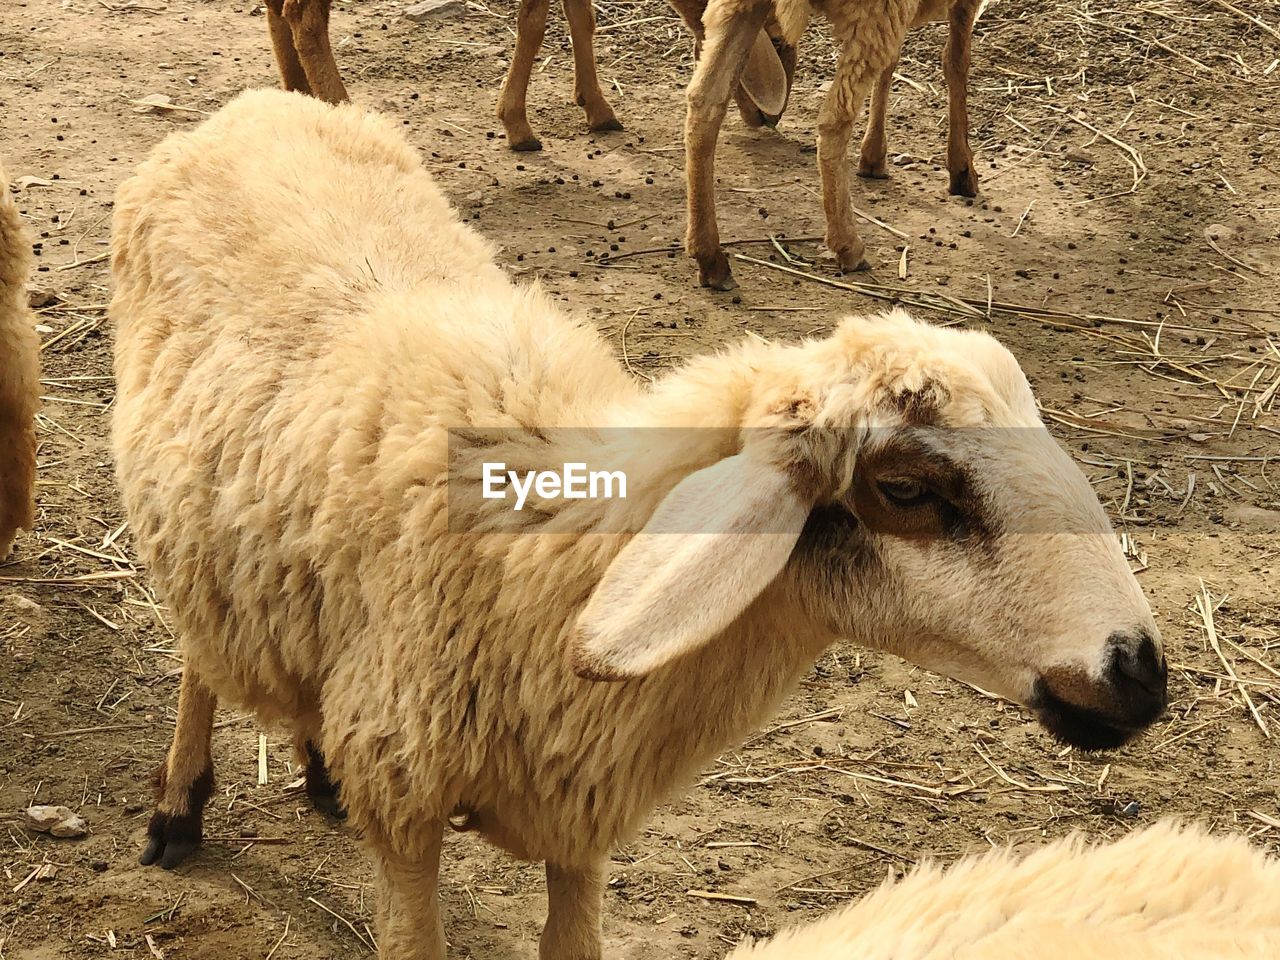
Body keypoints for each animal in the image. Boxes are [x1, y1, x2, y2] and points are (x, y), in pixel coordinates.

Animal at [112, 90, 1172, 960]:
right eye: (907, 489)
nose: (1141, 671)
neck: (551, 557)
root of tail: (260, 103)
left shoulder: (580, 805)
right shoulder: (407, 789)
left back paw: (312, 768)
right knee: (199, 653)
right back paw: (177, 805)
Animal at [686, 0, 983, 289]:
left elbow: (895, 63)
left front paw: (874, 155)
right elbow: (956, 61)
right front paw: (962, 169)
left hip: (738, 7)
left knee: (705, 101)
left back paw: (709, 257)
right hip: (876, 16)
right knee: (833, 124)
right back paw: (848, 245)